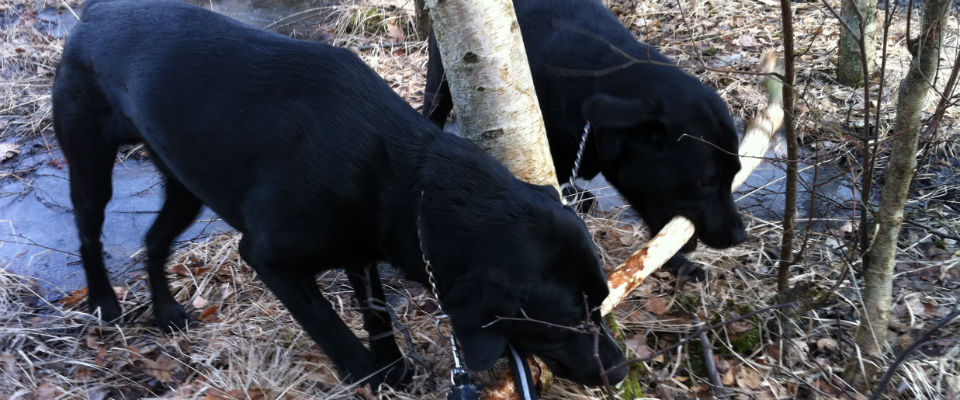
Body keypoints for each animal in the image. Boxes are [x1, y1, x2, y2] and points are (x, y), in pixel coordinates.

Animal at [52, 0, 628, 390]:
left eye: (600, 306)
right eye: (568, 321)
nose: (622, 369)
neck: (403, 174)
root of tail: (95, 13)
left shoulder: (363, 245)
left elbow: (375, 312)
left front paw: (393, 367)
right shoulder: (269, 259)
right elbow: (333, 331)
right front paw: (369, 377)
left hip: (185, 185)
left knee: (154, 241)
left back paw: (167, 310)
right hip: (89, 161)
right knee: (88, 232)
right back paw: (104, 302)